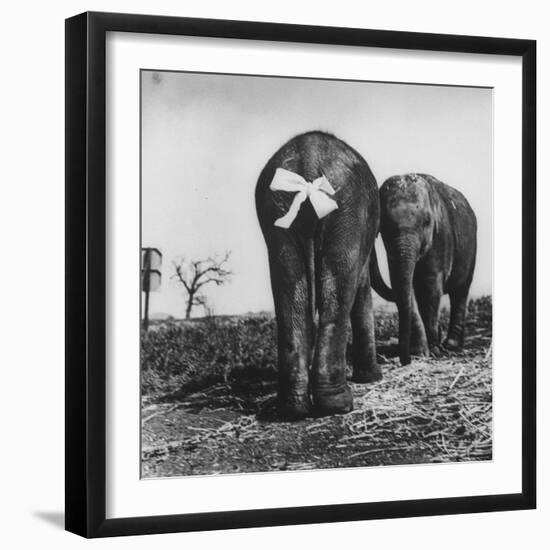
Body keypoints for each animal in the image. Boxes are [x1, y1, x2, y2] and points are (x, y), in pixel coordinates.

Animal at [258, 132, 384, 420]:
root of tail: (309, 159)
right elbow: (361, 287)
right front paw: (372, 378)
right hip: (348, 211)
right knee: (339, 287)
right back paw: (337, 404)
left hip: (279, 210)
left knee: (289, 287)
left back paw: (292, 408)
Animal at [380, 175, 478, 366]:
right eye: (383, 224)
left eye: (426, 222)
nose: (405, 361)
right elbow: (402, 285)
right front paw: (419, 352)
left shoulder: (441, 236)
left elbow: (431, 285)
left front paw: (433, 351)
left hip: (470, 250)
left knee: (461, 291)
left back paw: (451, 346)